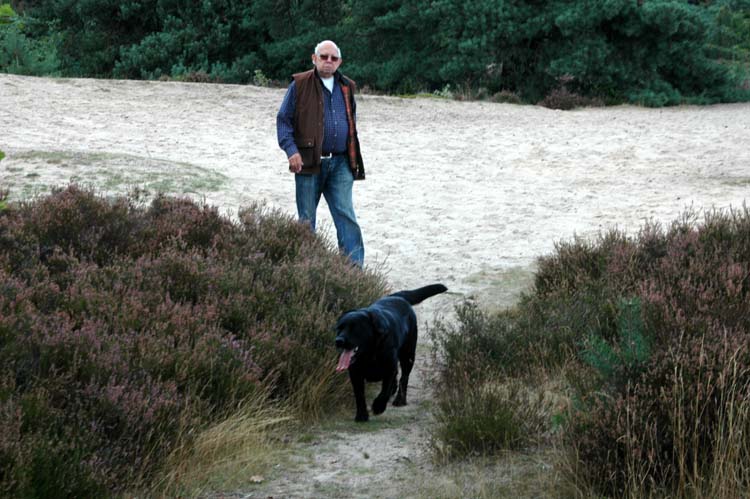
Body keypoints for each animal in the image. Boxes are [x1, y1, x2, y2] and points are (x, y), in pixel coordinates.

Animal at [334, 284, 447, 422]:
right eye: (339, 328)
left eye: (355, 328)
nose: (338, 341)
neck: (370, 353)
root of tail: (398, 296)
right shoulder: (355, 373)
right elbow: (359, 395)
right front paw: (361, 415)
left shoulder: (389, 368)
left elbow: (384, 390)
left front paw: (378, 406)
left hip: (408, 355)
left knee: (404, 378)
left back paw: (400, 400)